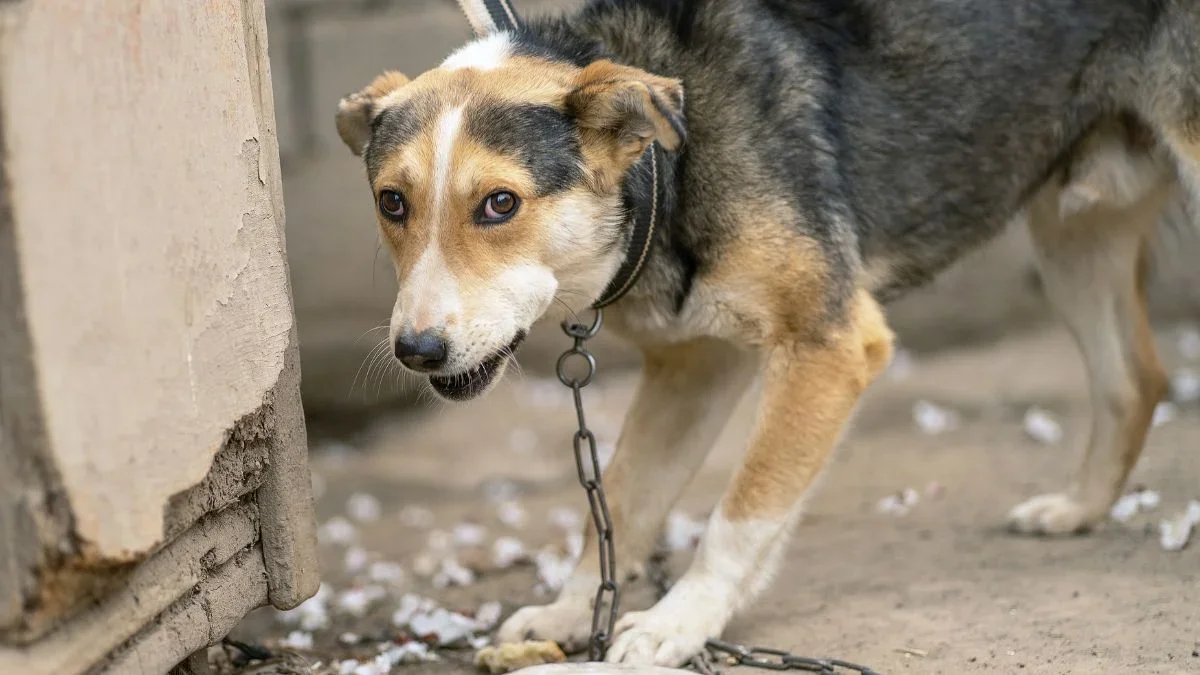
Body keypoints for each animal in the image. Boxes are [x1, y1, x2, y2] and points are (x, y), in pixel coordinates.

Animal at [333, 0, 1200, 662]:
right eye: (391, 202)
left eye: (500, 204)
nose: (416, 351)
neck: (670, 166)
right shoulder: (695, 361)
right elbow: (624, 497)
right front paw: (574, 608)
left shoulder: (831, 346)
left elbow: (740, 514)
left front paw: (678, 624)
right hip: (1072, 229)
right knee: (1135, 378)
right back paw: (1077, 509)